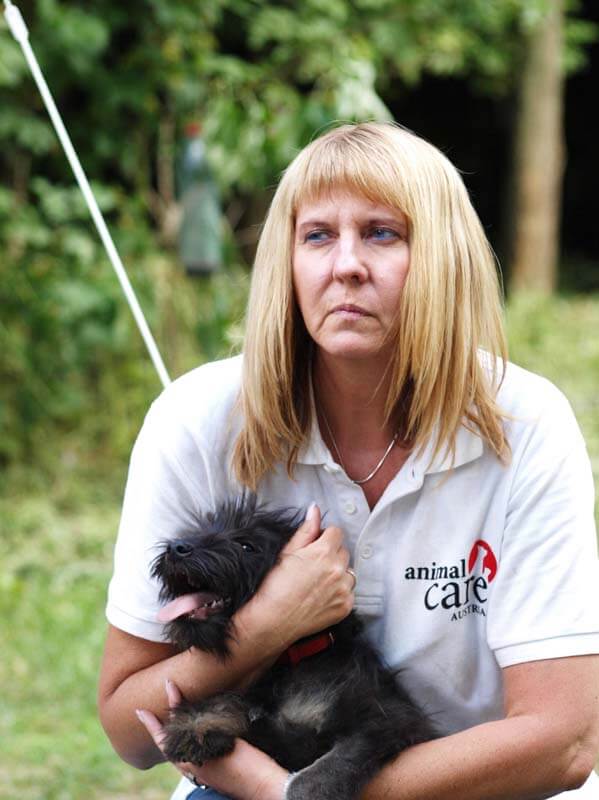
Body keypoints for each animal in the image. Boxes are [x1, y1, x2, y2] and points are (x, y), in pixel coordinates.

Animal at [151, 496, 436, 800]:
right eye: (203, 527)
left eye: (247, 546)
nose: (178, 547)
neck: (290, 660)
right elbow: (227, 697)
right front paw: (195, 725)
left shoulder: (388, 717)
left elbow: (333, 764)